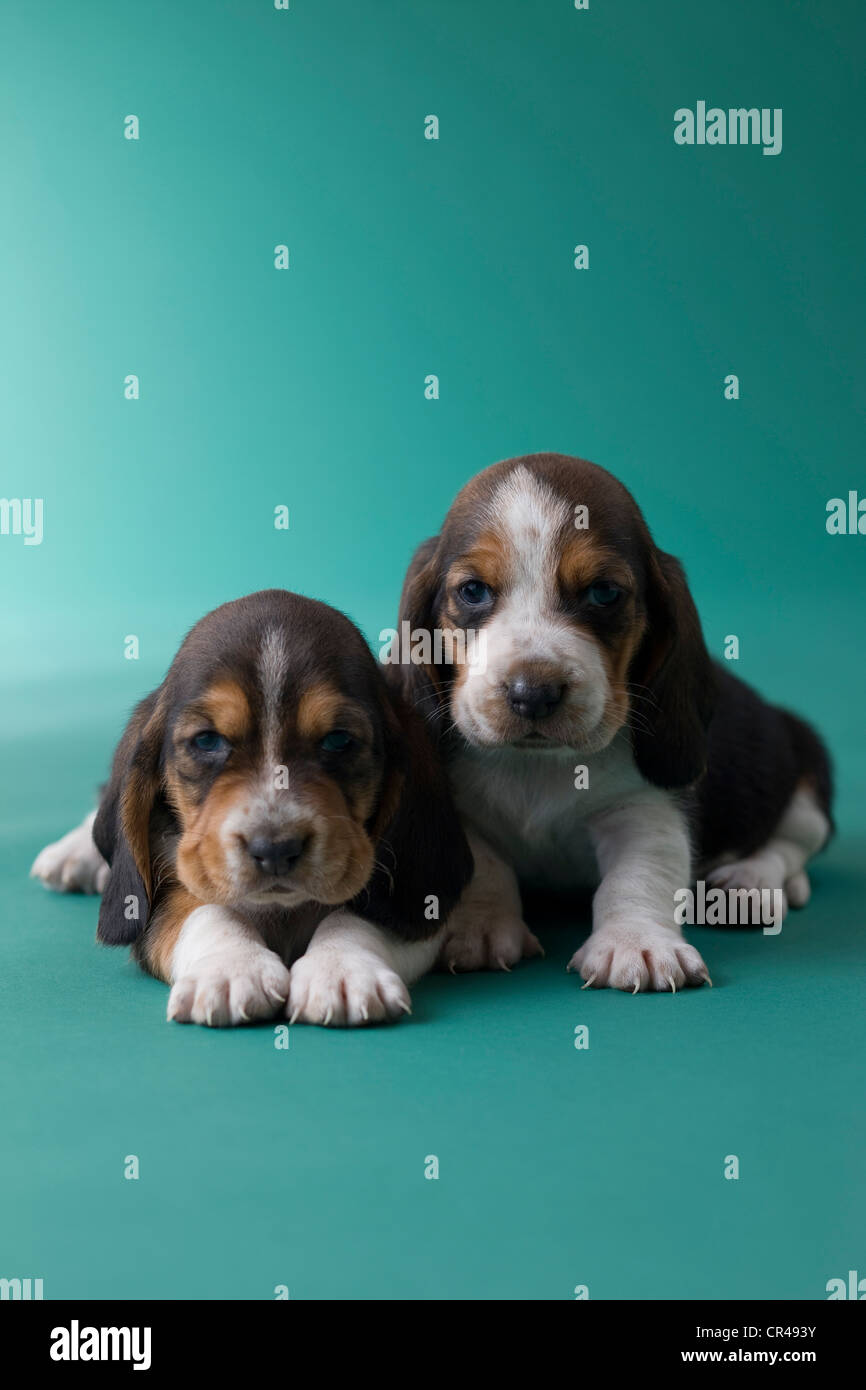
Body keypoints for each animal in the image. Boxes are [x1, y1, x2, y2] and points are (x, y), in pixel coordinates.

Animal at [30, 586, 475, 1023]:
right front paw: (231, 968)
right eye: (207, 740)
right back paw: (72, 854)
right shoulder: (155, 906)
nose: (275, 849)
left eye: (338, 740)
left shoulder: (416, 908)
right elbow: (206, 911)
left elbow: (358, 914)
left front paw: (343, 969)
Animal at [389, 447, 834, 989]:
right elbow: (487, 867)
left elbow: (636, 877)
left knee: (791, 842)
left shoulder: (645, 809)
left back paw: (750, 882)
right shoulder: (463, 816)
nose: (533, 694)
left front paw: (636, 943)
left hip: (806, 772)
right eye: (473, 591)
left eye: (603, 593)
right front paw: (482, 926)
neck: (539, 766)